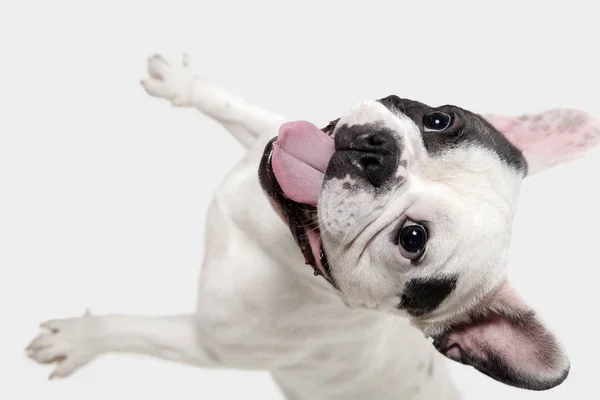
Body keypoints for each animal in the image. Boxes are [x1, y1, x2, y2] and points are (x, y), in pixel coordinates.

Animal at [25, 54, 600, 400]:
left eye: (412, 239)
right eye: (439, 120)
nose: (377, 155)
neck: (280, 240)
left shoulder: (208, 344)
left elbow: (137, 330)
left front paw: (78, 339)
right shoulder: (264, 136)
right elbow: (241, 109)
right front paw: (184, 84)